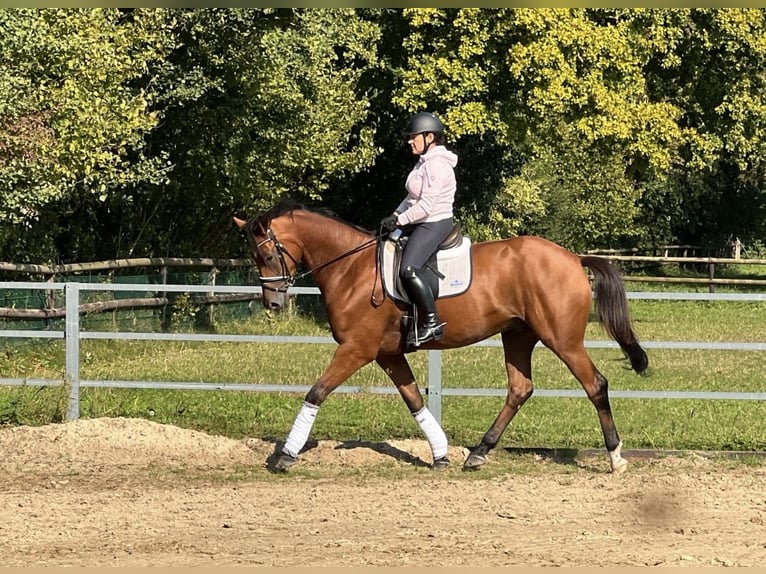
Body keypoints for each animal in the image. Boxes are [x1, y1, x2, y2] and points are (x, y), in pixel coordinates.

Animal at [232, 200, 648, 474]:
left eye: (266, 255)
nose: (273, 304)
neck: (351, 268)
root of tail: (573, 258)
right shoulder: (387, 354)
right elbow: (415, 401)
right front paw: (441, 453)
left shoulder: (356, 349)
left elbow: (316, 392)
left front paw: (286, 454)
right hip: (517, 336)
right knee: (520, 389)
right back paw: (478, 453)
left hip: (562, 339)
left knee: (595, 384)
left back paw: (615, 458)